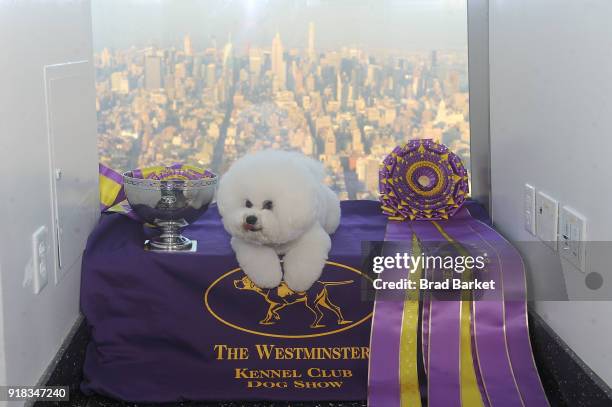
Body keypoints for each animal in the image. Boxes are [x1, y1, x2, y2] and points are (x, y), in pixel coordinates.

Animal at [216, 151, 342, 294]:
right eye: (247, 203)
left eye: (268, 204)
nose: (250, 219)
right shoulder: (248, 243)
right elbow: (259, 260)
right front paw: (269, 279)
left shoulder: (312, 239)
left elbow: (303, 260)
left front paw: (297, 281)